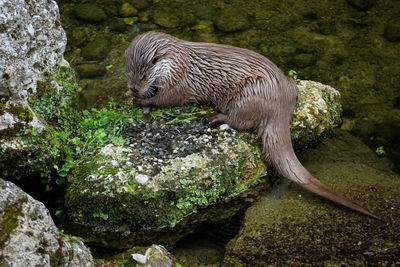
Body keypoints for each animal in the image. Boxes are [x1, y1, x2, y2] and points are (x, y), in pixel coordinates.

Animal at [125, 31, 378, 220]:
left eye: (145, 76)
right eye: (128, 73)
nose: (134, 87)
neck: (179, 63)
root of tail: (280, 103)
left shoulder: (180, 82)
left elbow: (167, 100)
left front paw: (141, 100)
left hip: (248, 95)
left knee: (242, 122)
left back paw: (217, 118)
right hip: (285, 87)